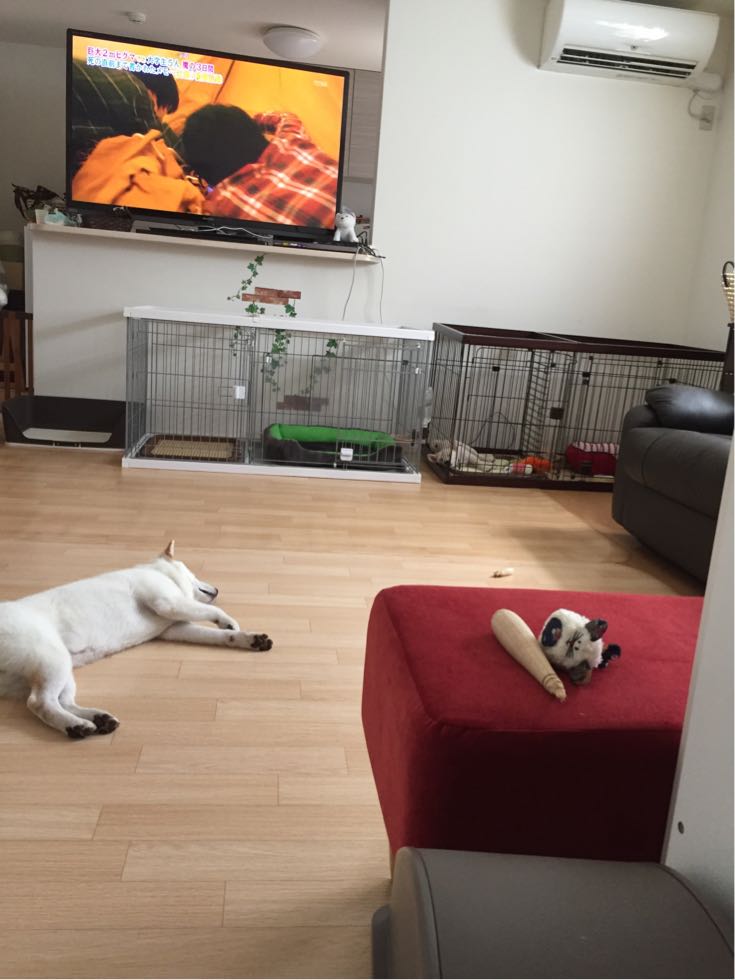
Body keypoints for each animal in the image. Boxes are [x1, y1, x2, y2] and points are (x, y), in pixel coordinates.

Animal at [0, 541, 272, 738]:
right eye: (193, 573)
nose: (216, 589)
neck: (153, 571)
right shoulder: (169, 604)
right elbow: (211, 611)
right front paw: (228, 619)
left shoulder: (175, 627)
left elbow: (221, 636)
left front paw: (248, 638)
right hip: (52, 660)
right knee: (40, 702)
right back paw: (75, 726)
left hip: (60, 668)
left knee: (61, 701)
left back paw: (97, 719)